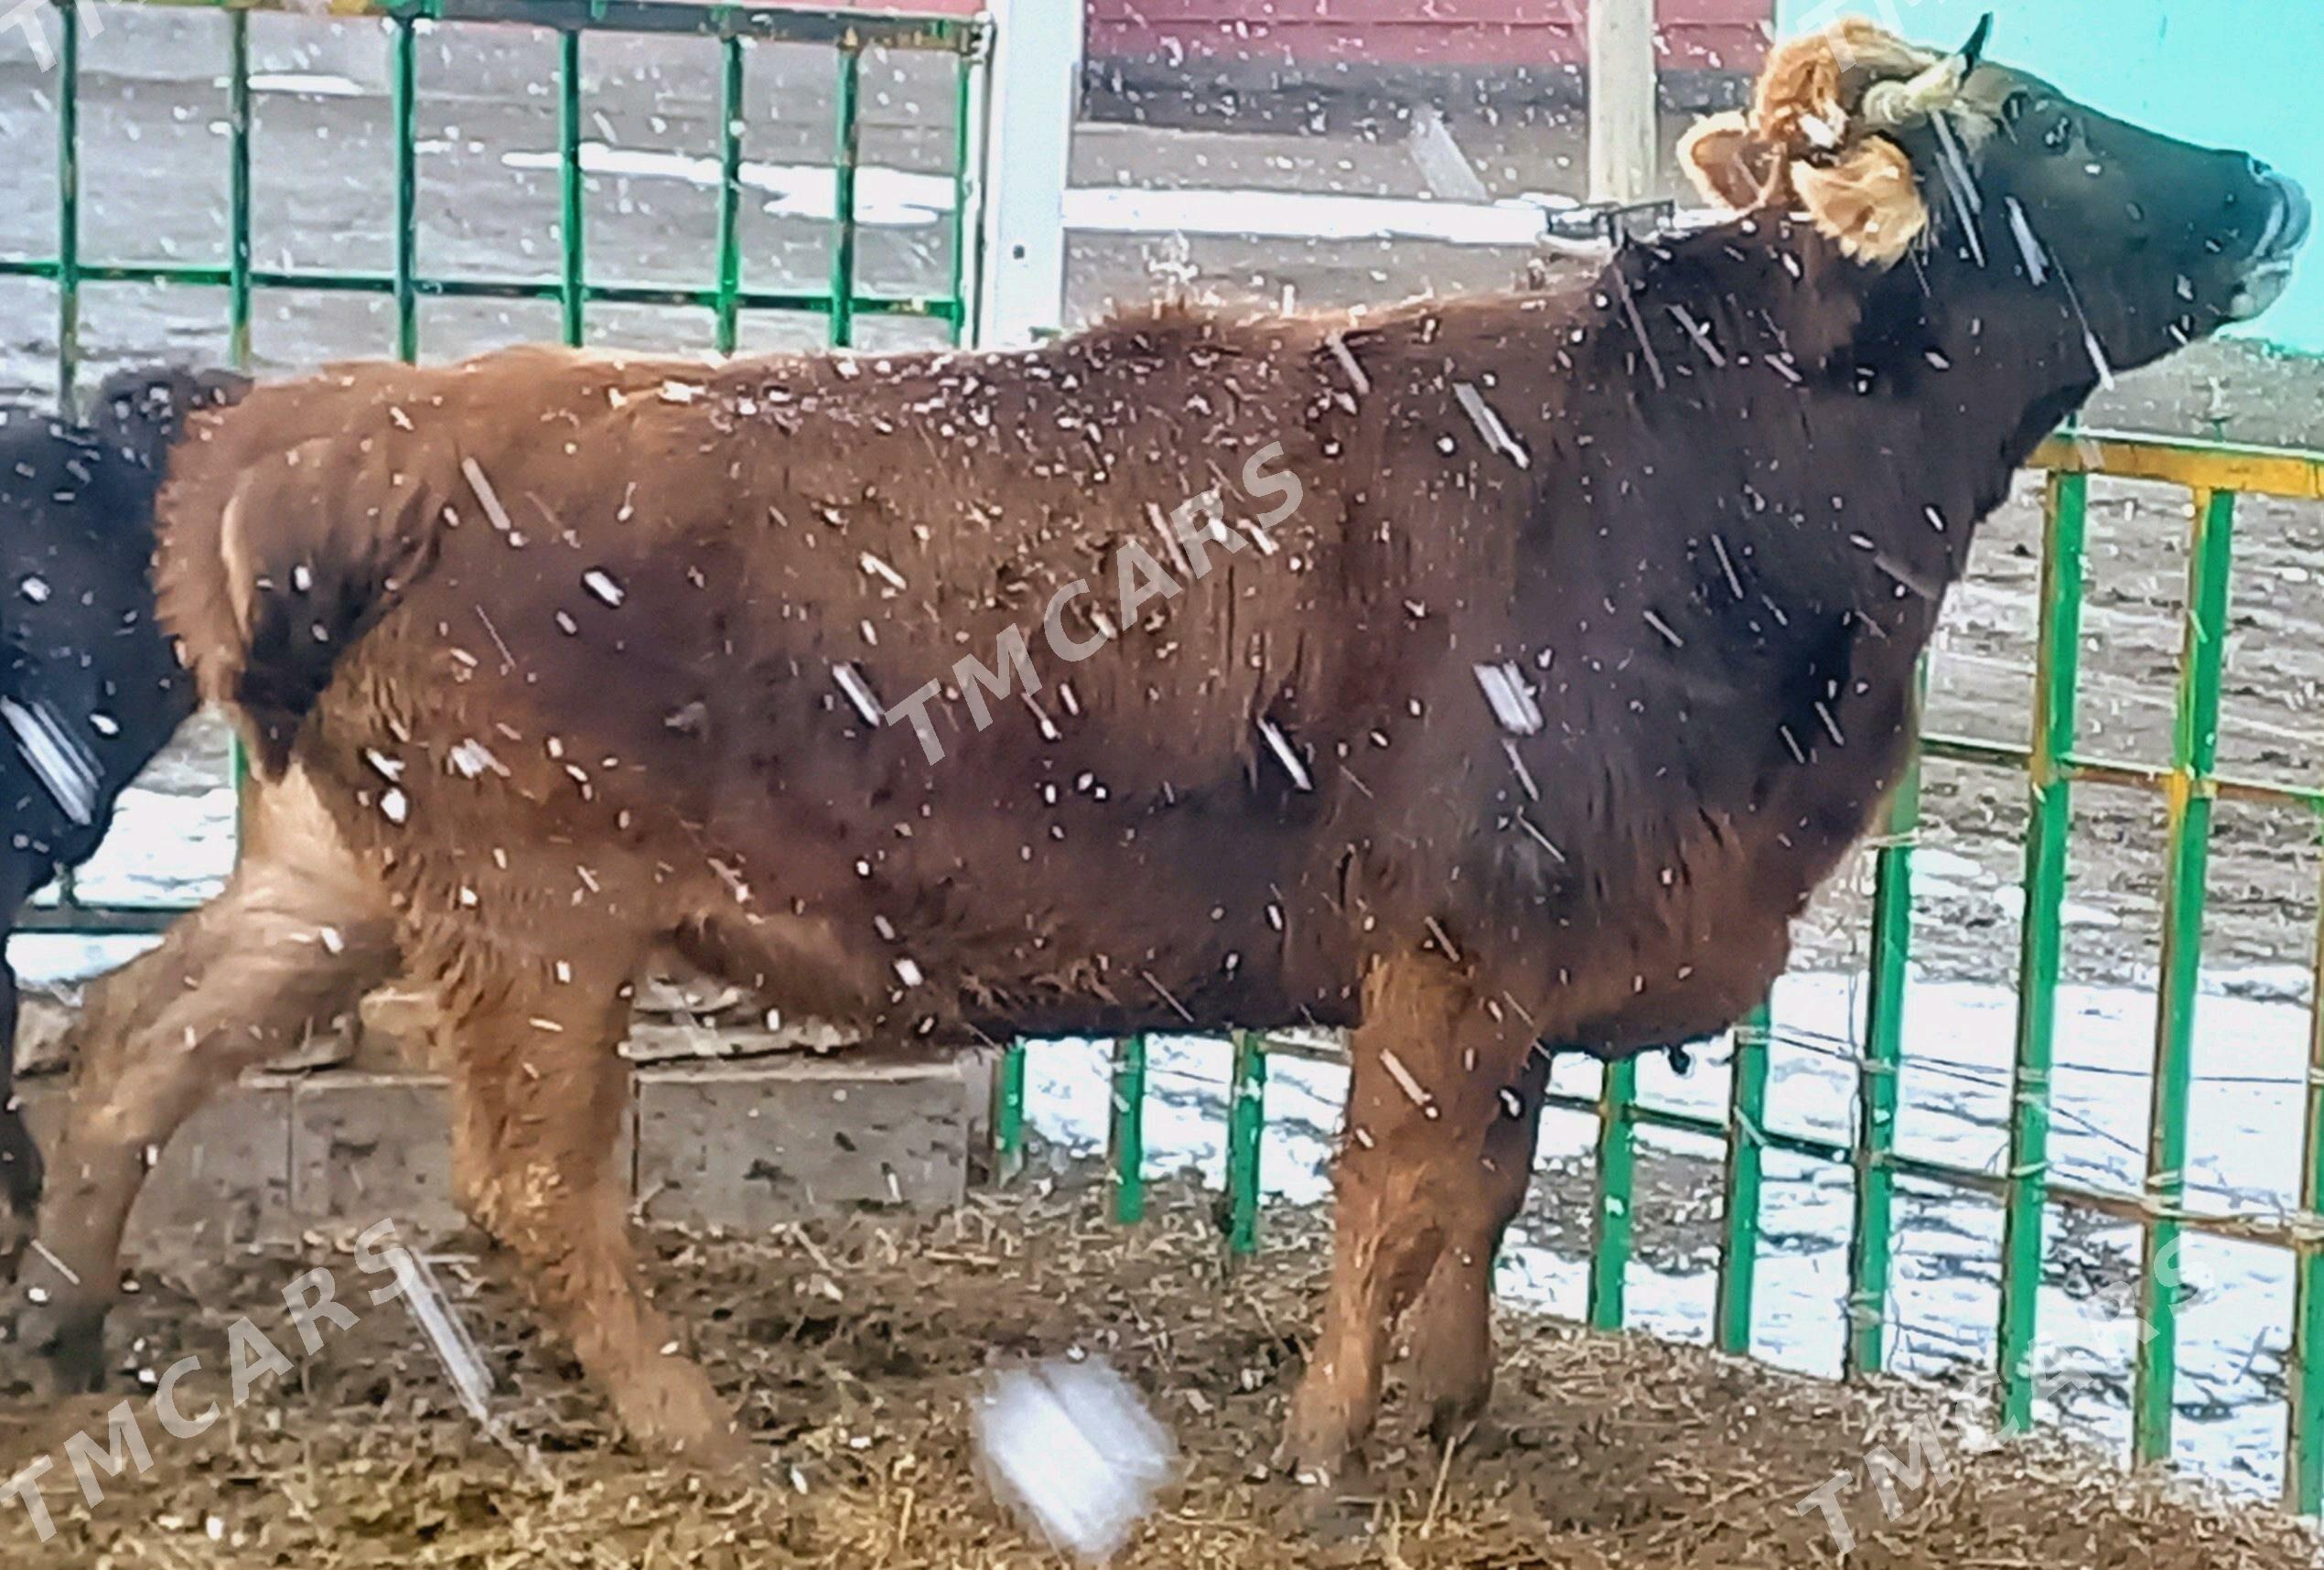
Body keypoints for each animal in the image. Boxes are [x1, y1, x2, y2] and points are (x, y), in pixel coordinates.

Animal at [17, 18, 2305, 1477]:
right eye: (2043, 123)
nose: (2272, 174)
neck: (1689, 472)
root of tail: (352, 415)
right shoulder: (1447, 953)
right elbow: (1395, 1197)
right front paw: (1324, 1453)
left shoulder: (1522, 972)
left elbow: (1493, 1192)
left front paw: (1458, 1415)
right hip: (535, 908)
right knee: (533, 1187)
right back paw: (706, 1437)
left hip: (339, 875)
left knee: (129, 1041)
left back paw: (70, 1325)